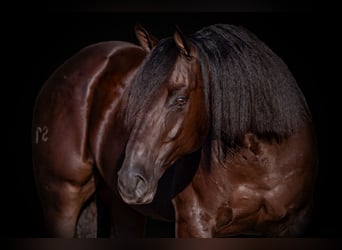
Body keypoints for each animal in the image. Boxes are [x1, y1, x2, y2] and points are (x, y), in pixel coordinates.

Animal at [32, 23, 318, 238]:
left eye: (180, 99)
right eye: (134, 97)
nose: (129, 180)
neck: (259, 164)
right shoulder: (194, 225)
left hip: (125, 211)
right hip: (62, 201)